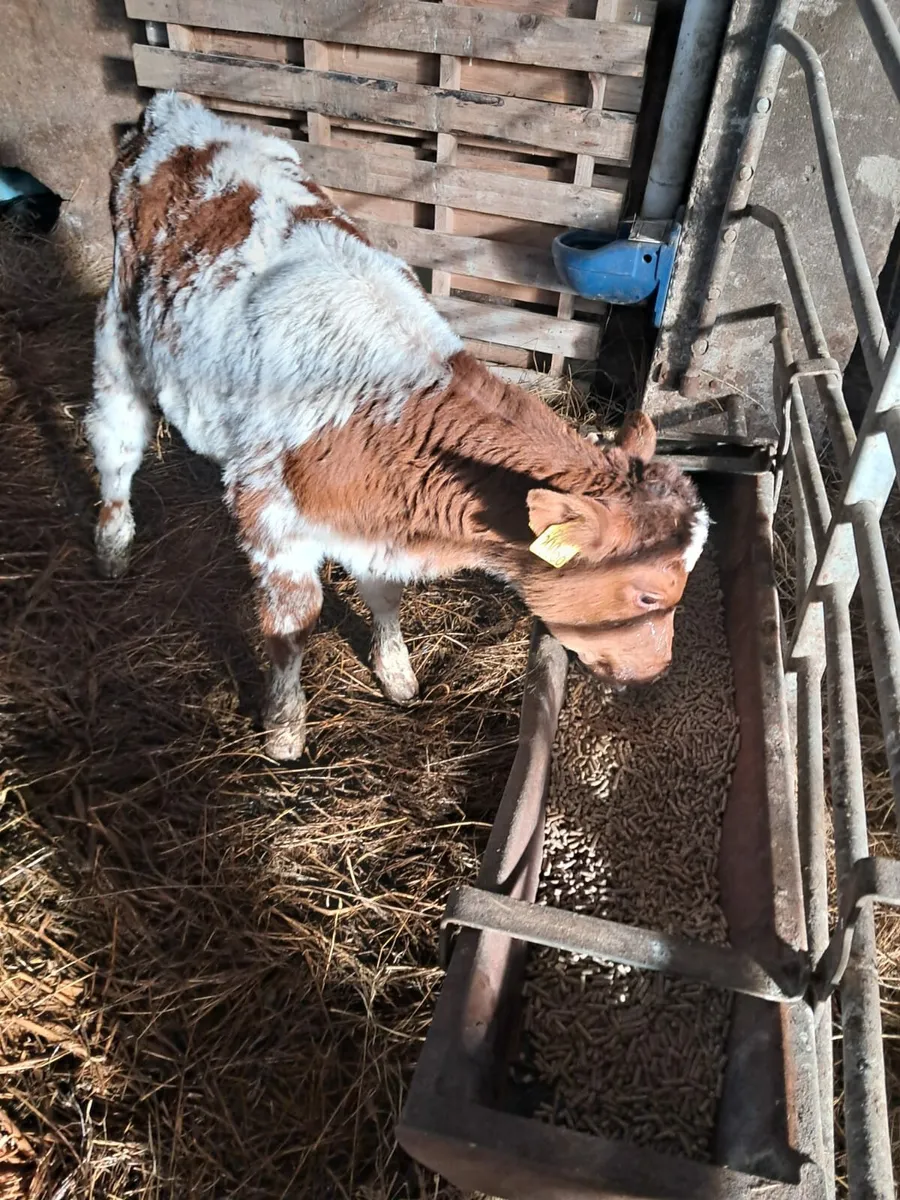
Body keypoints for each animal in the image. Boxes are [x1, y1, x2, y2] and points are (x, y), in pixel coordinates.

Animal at [85, 93, 709, 761]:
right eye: (647, 594)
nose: (655, 673)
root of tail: (177, 110)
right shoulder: (271, 521)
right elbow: (291, 628)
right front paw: (284, 728)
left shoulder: (377, 529)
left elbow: (383, 595)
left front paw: (397, 674)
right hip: (121, 327)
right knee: (116, 439)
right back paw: (113, 545)